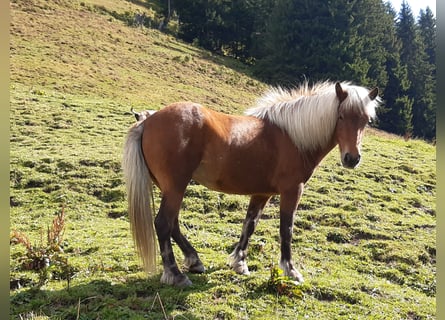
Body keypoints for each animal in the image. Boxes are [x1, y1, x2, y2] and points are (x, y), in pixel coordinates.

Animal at [121, 81, 378, 286]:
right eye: (341, 116)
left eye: (366, 121)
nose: (352, 158)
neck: (293, 137)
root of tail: (148, 121)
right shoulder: (292, 191)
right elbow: (286, 229)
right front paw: (291, 270)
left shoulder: (261, 193)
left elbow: (249, 225)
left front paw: (240, 263)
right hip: (175, 187)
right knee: (164, 223)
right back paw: (175, 274)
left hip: (170, 188)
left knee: (173, 223)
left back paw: (195, 261)